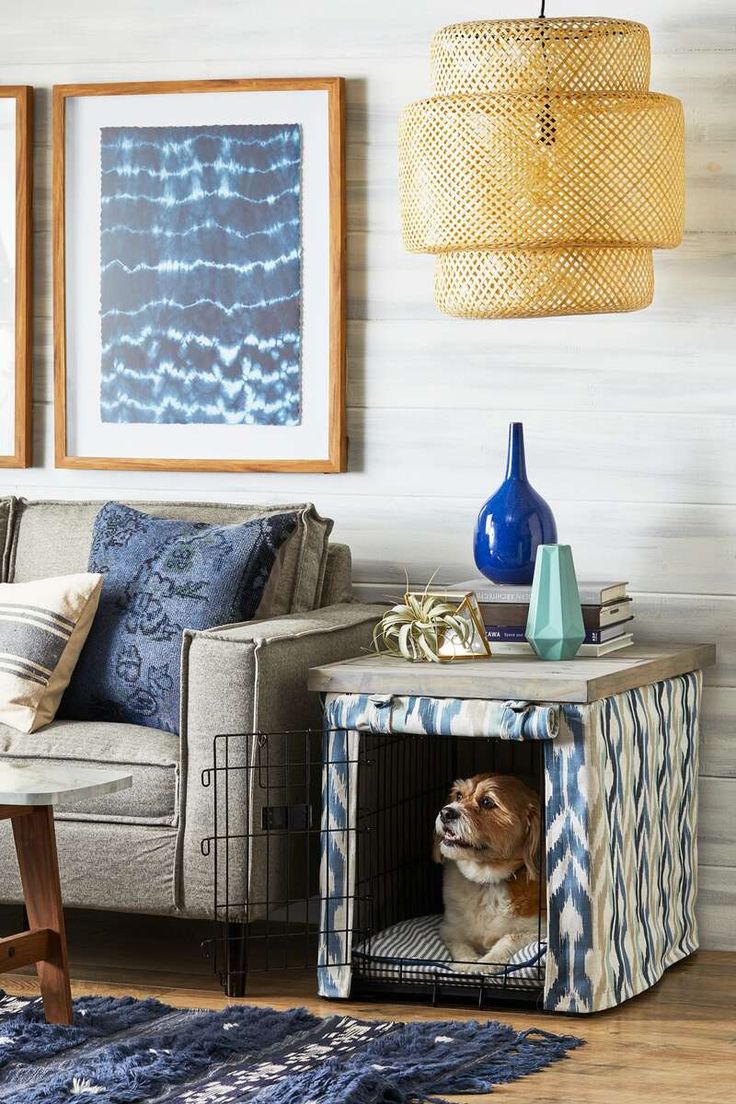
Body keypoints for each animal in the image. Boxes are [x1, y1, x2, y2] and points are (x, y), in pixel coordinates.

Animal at [434, 772, 545, 971]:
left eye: (487, 802)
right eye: (458, 796)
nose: (446, 812)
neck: (486, 883)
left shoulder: (536, 931)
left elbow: (508, 940)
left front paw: (483, 965)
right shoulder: (450, 930)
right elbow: (461, 948)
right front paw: (466, 965)